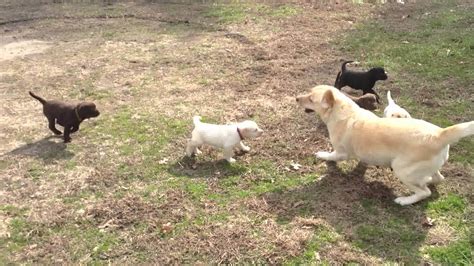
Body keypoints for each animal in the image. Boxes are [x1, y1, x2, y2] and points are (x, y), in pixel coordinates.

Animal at [296, 85, 474, 206]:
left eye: (311, 99)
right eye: (308, 92)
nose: (296, 98)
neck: (343, 112)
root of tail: (440, 134)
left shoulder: (341, 152)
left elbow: (331, 156)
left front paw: (322, 155)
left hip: (402, 170)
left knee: (424, 192)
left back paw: (405, 200)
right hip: (425, 169)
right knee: (437, 179)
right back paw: (427, 180)